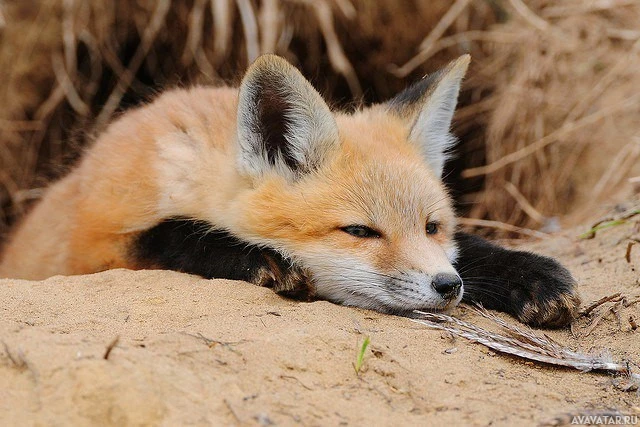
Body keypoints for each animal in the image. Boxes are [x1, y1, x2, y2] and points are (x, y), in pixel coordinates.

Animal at [0, 53, 580, 328]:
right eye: (360, 232)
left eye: (432, 226)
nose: (448, 288)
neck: (193, 169)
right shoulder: (94, 247)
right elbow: (173, 233)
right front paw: (262, 259)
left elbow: (470, 249)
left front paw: (528, 274)